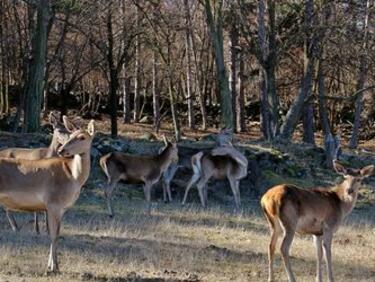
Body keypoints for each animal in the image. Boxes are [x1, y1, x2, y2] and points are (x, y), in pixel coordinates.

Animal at [0, 119, 95, 274]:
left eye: (82, 137)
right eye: (71, 135)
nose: (62, 150)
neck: (74, 177)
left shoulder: (61, 208)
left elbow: (56, 233)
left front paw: (51, 266)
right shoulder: (53, 203)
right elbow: (54, 235)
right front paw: (54, 268)